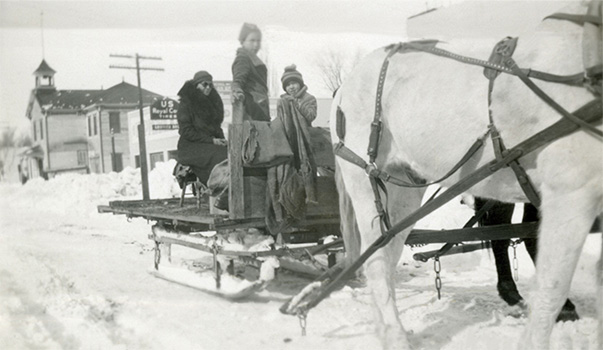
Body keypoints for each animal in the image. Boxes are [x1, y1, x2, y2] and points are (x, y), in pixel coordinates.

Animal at [332, 1, 600, 348]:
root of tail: (345, 85)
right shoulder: (571, 194)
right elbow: (550, 290)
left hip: (406, 187)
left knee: (386, 254)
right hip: (364, 181)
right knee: (377, 262)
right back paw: (395, 336)